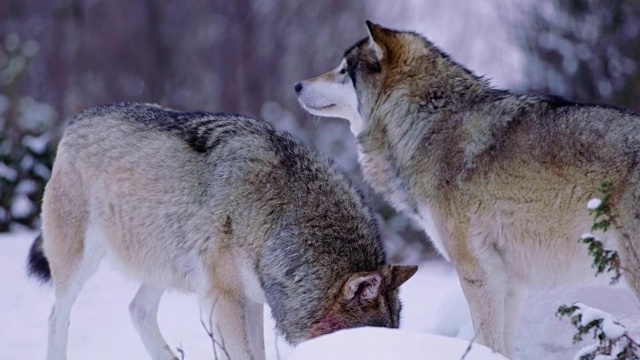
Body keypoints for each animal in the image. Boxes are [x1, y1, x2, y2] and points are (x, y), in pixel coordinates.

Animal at [26, 102, 420, 360]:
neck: (279, 220)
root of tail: (75, 121)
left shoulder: (252, 301)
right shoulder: (225, 300)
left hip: (167, 268)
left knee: (138, 310)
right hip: (79, 264)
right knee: (56, 318)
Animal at [296, 21, 640, 358]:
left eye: (343, 70)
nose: (297, 85)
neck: (423, 125)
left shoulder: (477, 269)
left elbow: (487, 338)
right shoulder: (508, 279)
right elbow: (503, 345)